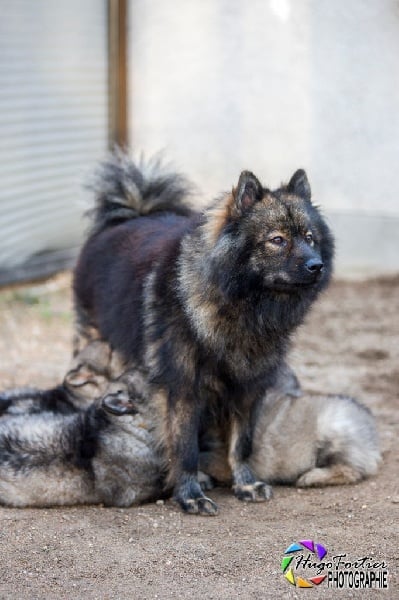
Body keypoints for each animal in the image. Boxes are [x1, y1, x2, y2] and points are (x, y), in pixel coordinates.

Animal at [72, 152, 334, 512]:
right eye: (277, 240)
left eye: (309, 237)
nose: (316, 265)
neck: (242, 307)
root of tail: (131, 214)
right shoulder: (182, 387)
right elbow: (185, 447)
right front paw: (190, 494)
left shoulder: (248, 387)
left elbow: (241, 443)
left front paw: (246, 483)